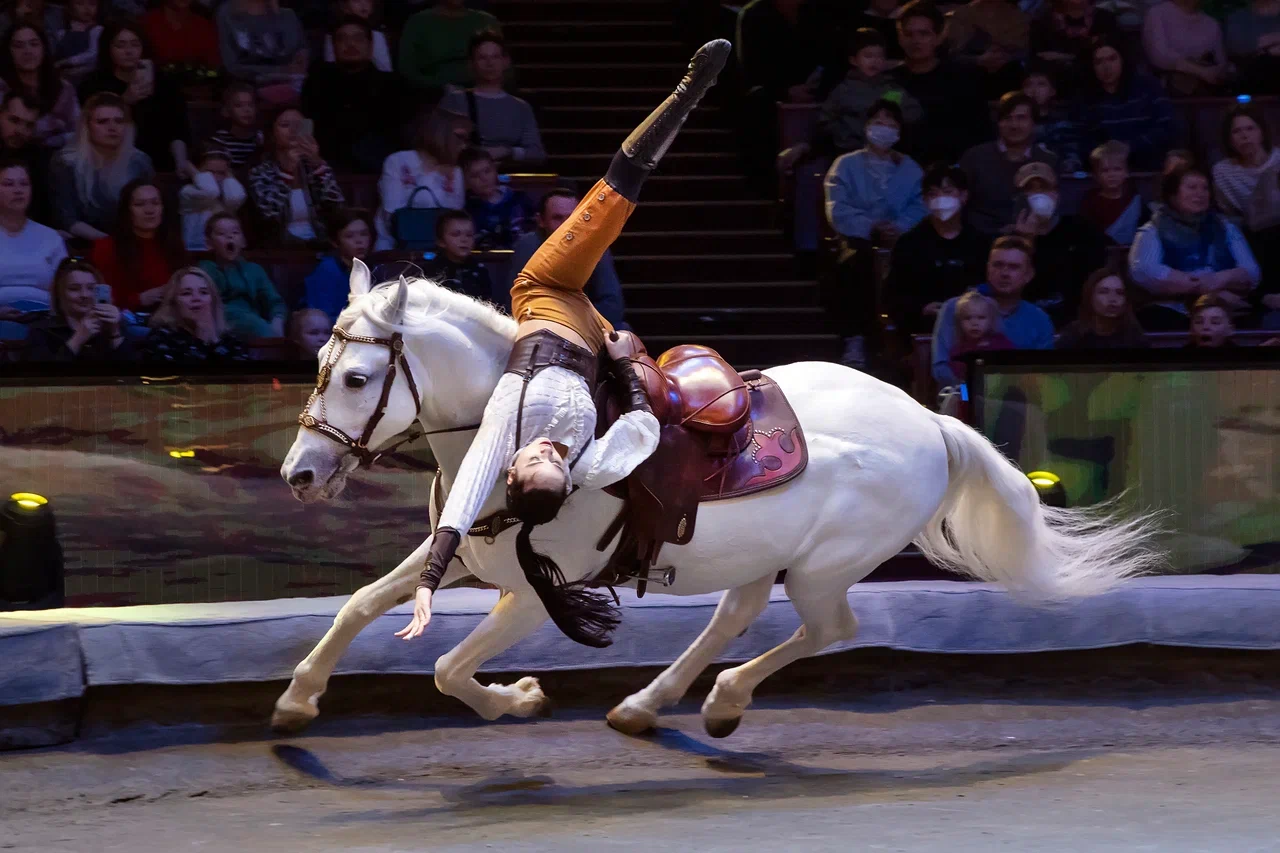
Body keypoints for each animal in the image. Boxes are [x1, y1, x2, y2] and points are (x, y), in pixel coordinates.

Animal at [275, 267, 1157, 737]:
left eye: (356, 377)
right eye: (317, 365)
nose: (301, 474)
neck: (510, 421)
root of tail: (932, 422)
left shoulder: (529, 592)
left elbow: (448, 668)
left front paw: (516, 697)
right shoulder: (461, 552)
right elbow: (361, 602)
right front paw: (297, 698)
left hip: (823, 567)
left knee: (829, 627)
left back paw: (722, 701)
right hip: (763, 554)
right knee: (735, 616)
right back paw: (648, 702)